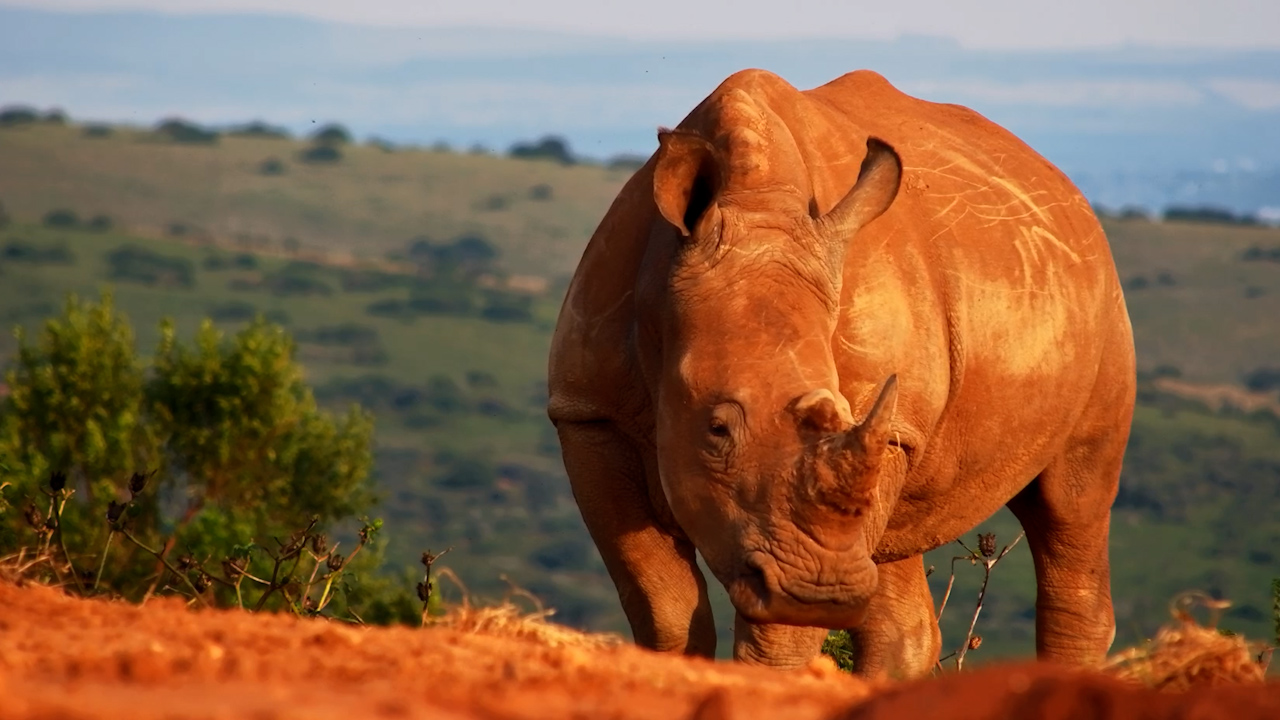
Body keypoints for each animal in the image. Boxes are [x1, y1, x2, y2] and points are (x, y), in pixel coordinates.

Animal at [547, 68, 1136, 678]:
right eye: (716, 429)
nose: (821, 593)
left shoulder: (872, 445)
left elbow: (778, 633)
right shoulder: (589, 413)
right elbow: (661, 604)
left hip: (1099, 308)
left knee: (1072, 503)